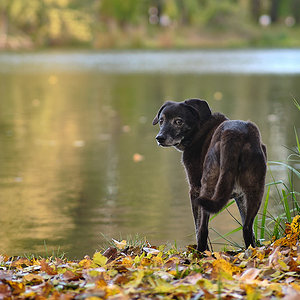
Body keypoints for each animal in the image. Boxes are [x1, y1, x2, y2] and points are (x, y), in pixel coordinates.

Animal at [154, 99, 266, 251]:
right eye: (161, 120)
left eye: (178, 121)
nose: (160, 138)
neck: (199, 130)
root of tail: (234, 135)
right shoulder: (240, 196)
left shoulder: (194, 190)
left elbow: (197, 228)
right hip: (256, 191)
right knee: (247, 228)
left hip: (207, 187)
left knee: (203, 230)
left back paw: (200, 252)